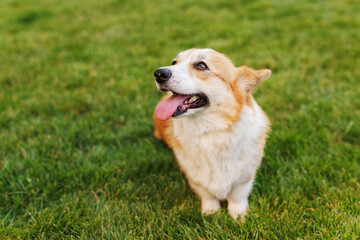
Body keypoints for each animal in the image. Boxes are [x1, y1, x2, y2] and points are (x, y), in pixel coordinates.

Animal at [152, 48, 270, 219]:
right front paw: (210, 213)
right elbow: (207, 194)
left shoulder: (245, 176)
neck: (211, 131)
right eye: (174, 62)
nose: (159, 73)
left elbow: (238, 196)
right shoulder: (195, 177)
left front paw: (239, 216)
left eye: (201, 65)